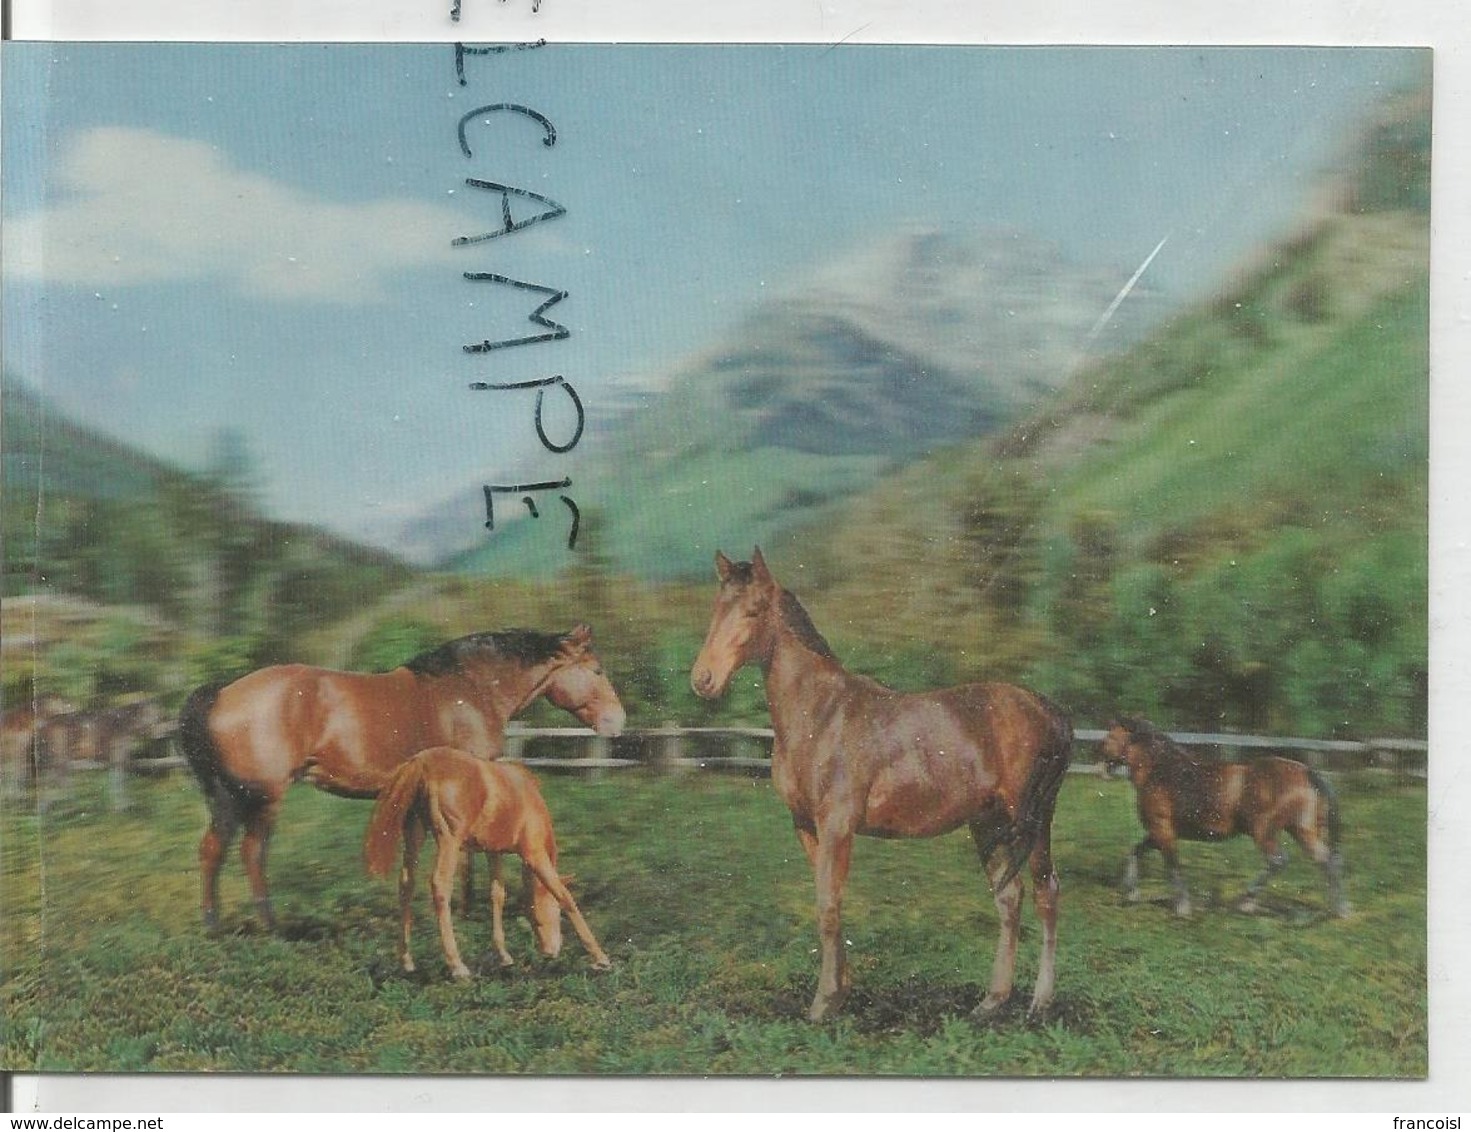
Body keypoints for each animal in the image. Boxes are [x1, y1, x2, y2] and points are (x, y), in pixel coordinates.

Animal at [179, 623, 626, 929]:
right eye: (597, 670)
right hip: (259, 797)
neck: (468, 692)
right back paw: (261, 927)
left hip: (233, 796)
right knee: (246, 852)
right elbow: (466, 857)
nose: (617, 721)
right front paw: (467, 912)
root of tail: (223, 693)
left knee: (216, 850)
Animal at [364, 746, 611, 976]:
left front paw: (503, 955)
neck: (526, 796)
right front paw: (600, 958)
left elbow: (497, 895)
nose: (548, 951)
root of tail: (422, 762)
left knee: (406, 884)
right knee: (440, 884)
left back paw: (406, 961)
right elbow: (564, 896)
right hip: (448, 841)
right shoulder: (534, 855)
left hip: (415, 834)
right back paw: (457, 965)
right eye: (543, 916)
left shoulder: (493, 852)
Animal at [688, 546, 1070, 1023]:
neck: (821, 715)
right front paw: (841, 992)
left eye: (753, 610)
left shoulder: (837, 826)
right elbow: (829, 902)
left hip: (1034, 820)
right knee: (1009, 897)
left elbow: (828, 906)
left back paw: (1040, 1002)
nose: (703, 680)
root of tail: (1049, 710)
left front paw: (822, 1004)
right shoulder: (807, 827)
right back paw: (991, 1001)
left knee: (1046, 894)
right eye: (716, 608)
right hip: (989, 825)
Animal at [1100, 714, 1347, 917]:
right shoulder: (1159, 831)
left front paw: (1182, 908)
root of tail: (1307, 772)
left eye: (1111, 737)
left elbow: (1172, 866)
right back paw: (1340, 910)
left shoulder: (1162, 829)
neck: (1162, 773)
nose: (1100, 757)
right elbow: (1135, 852)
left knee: (1278, 860)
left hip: (1263, 830)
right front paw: (1131, 893)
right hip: (1302, 830)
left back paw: (1245, 903)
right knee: (1328, 860)